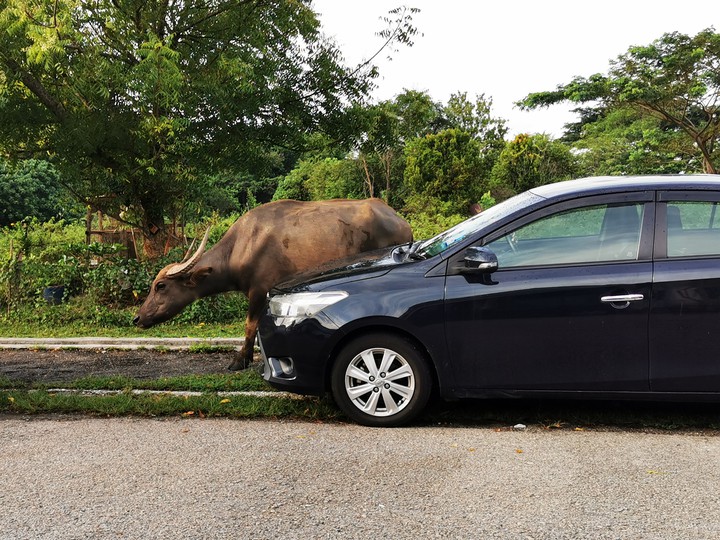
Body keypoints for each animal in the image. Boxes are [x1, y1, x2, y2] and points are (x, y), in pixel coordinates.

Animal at [133, 198, 413, 370]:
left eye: (160, 286)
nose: (138, 318)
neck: (242, 246)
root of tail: (400, 221)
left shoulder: (259, 291)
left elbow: (250, 325)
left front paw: (240, 360)